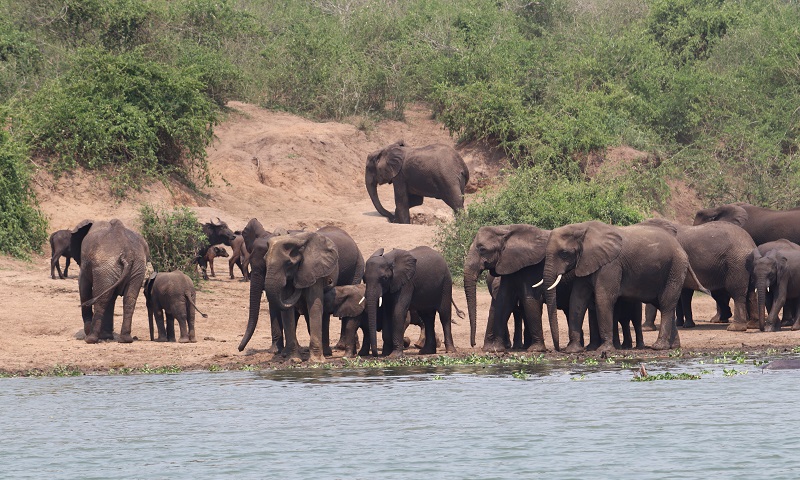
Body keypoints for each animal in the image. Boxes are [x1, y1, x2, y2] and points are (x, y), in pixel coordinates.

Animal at [236, 219, 364, 362]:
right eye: (253, 263)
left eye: (289, 264)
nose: (240, 349)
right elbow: (285, 310)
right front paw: (290, 357)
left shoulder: (313, 268)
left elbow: (313, 304)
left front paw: (315, 360)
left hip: (357, 266)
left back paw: (335, 350)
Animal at [540, 221, 704, 352]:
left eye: (564, 253)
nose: (557, 349)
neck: (582, 228)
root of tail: (681, 248)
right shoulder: (586, 262)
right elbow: (577, 299)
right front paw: (572, 350)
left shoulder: (611, 265)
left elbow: (604, 299)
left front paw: (604, 350)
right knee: (662, 304)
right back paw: (674, 346)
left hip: (674, 269)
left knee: (666, 304)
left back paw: (659, 347)